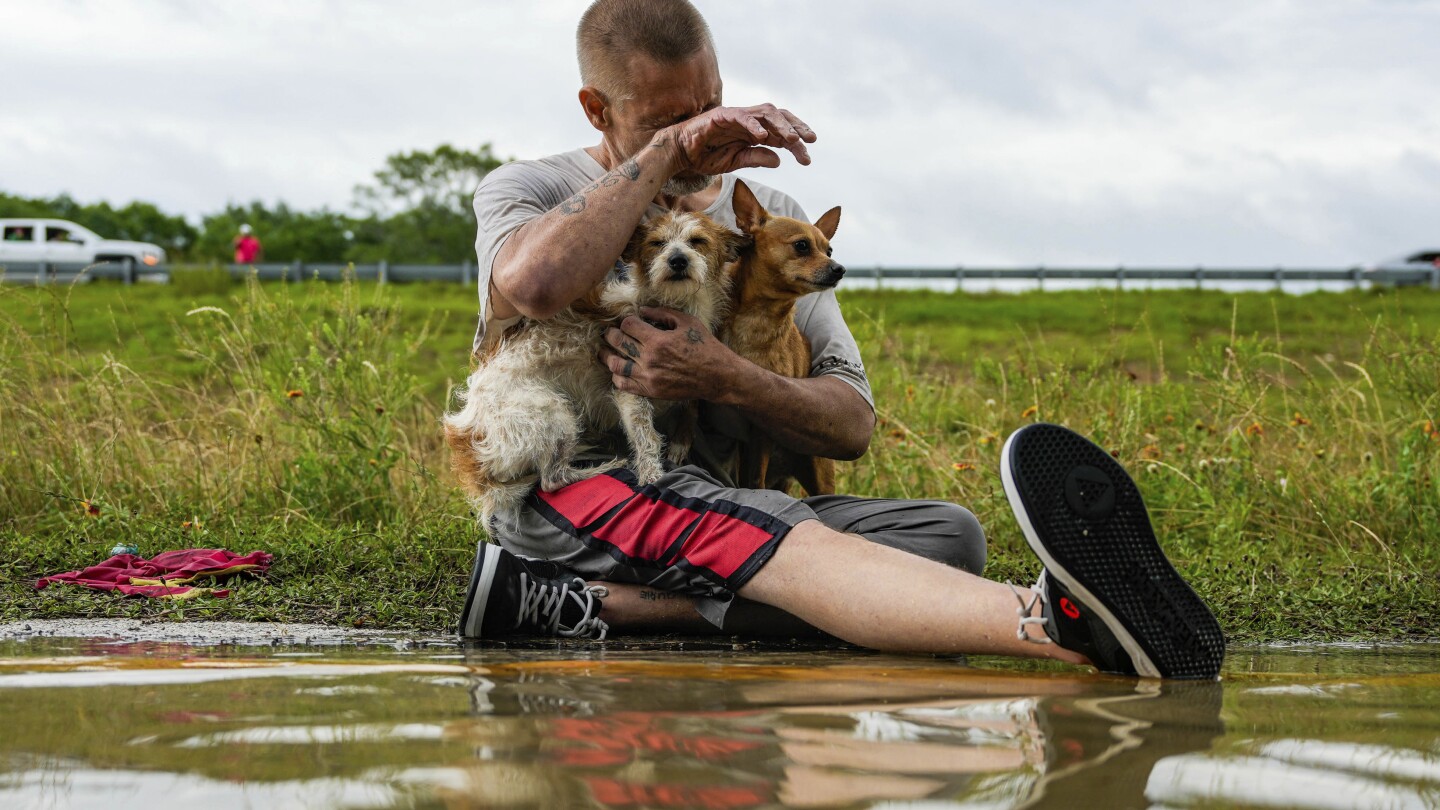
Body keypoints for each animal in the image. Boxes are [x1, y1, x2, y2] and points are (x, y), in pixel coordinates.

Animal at [443, 211, 743, 518]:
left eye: (698, 241)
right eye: (657, 243)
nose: (678, 260)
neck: (674, 303)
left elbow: (691, 403)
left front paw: (681, 443)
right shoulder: (629, 386)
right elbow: (646, 437)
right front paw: (652, 475)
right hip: (553, 413)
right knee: (552, 479)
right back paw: (606, 466)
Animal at [720, 179, 840, 492]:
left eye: (829, 251)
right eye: (802, 246)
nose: (840, 269)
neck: (759, 316)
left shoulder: (763, 427)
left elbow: (754, 479)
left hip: (818, 472)